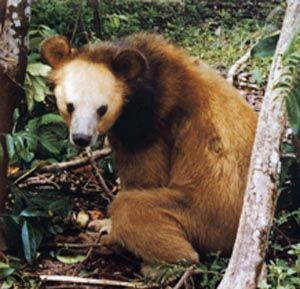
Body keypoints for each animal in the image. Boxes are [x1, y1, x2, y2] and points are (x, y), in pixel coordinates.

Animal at [40, 33, 258, 268]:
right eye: (69, 106)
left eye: (102, 109)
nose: (82, 138)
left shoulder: (151, 125)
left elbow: (145, 178)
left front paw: (108, 229)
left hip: (204, 216)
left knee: (131, 208)